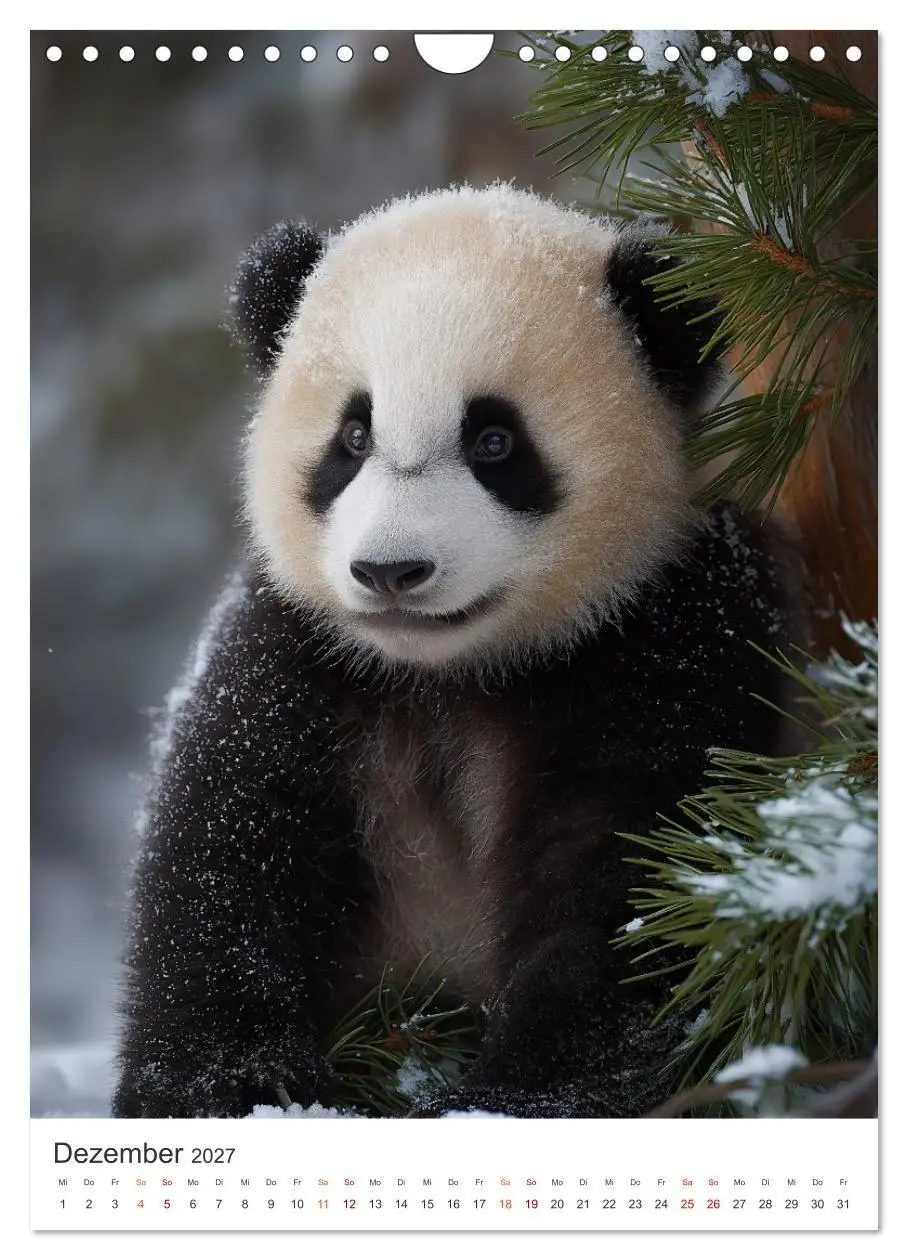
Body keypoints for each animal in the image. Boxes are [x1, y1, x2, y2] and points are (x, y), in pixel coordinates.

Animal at [112, 184, 799, 1120]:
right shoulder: (300, 652)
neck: (450, 673)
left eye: (495, 443)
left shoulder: (668, 632)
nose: (391, 571)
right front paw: (239, 1087)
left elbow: (640, 878)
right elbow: (227, 847)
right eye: (353, 438)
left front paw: (512, 1098)